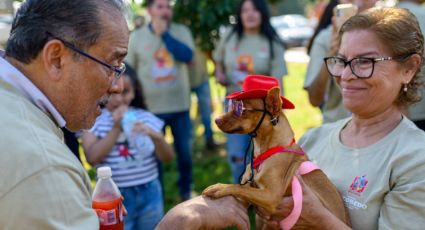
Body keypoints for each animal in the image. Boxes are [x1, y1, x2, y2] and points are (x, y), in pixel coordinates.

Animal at [202, 75, 348, 228]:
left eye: (240, 109)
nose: (216, 120)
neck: (264, 152)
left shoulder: (271, 196)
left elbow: (240, 188)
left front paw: (219, 188)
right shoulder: (249, 194)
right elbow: (242, 188)